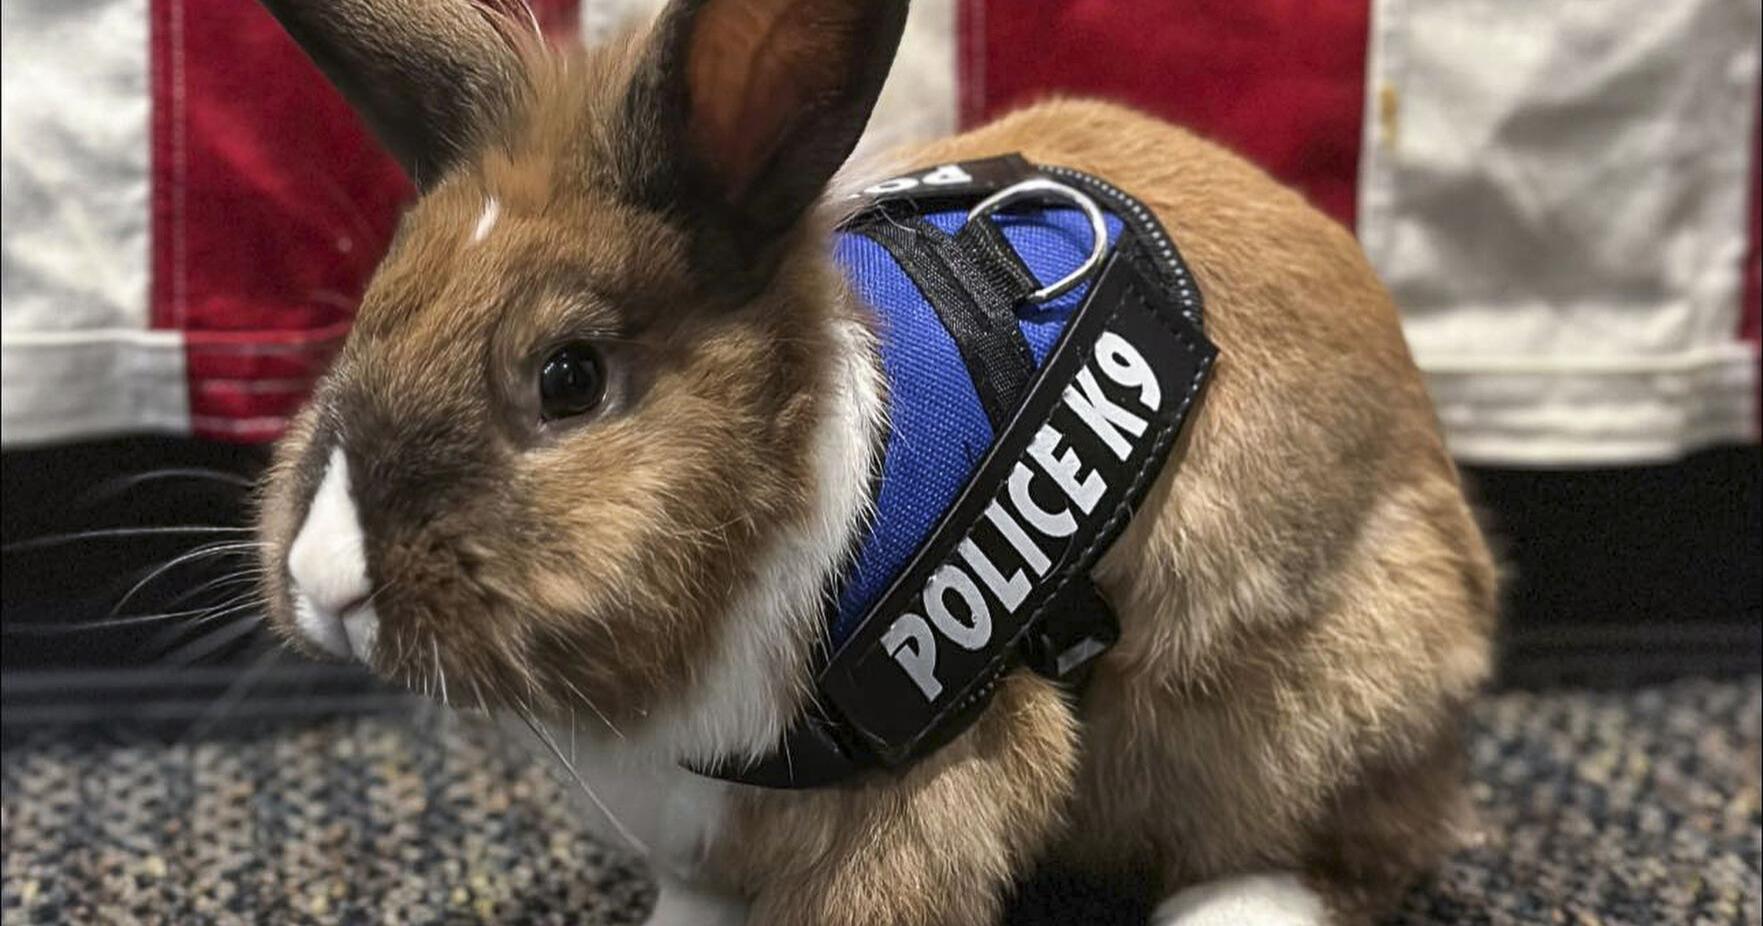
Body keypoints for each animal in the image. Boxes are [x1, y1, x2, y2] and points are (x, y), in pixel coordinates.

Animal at [253, 0, 1498, 923]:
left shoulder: (926, 788)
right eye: (372, 312)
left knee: (1346, 842)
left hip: (1304, 703)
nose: (323, 578)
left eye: (569, 376)